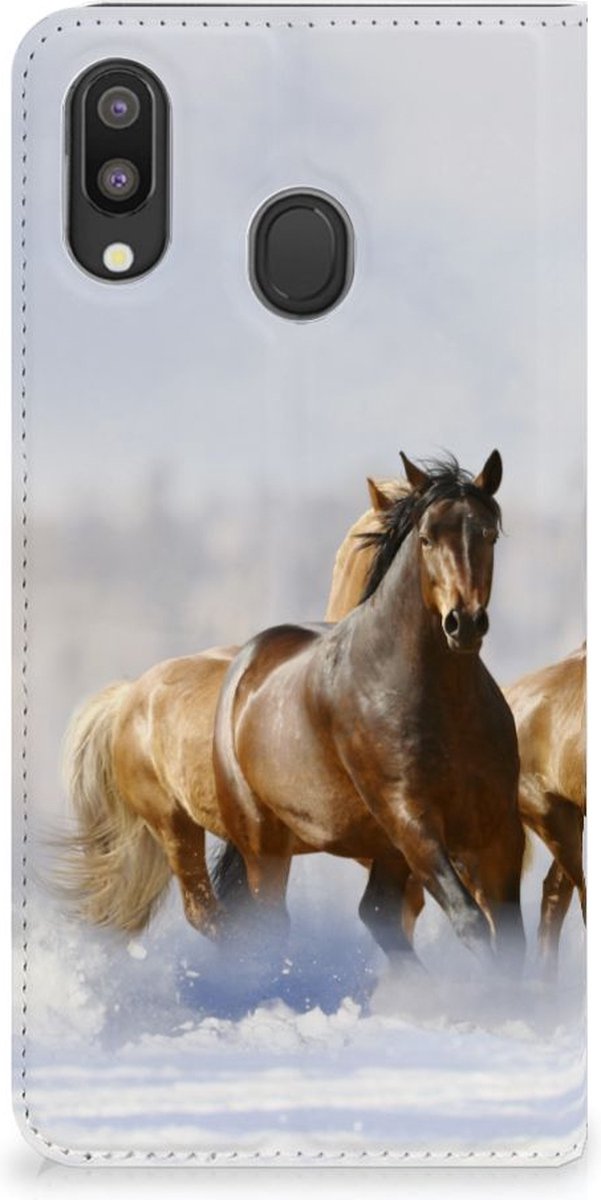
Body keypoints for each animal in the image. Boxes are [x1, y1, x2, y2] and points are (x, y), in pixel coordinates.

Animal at [212, 451, 526, 968]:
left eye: (488, 534)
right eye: (426, 538)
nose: (464, 623)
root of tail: (246, 664)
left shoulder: (498, 829)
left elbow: (511, 938)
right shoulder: (412, 821)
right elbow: (471, 922)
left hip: (382, 850)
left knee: (377, 912)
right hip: (264, 844)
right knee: (270, 925)